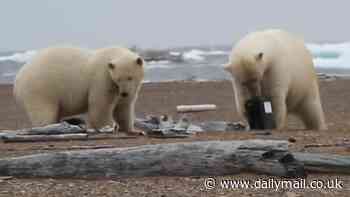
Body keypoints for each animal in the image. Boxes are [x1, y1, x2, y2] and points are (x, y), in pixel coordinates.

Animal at [13, 46, 144, 133]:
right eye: (118, 79)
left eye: (130, 77)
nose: (124, 93)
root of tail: (18, 79)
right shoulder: (102, 79)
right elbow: (101, 106)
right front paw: (108, 127)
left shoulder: (125, 88)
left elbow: (123, 108)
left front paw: (134, 130)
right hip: (40, 88)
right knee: (43, 112)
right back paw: (50, 128)